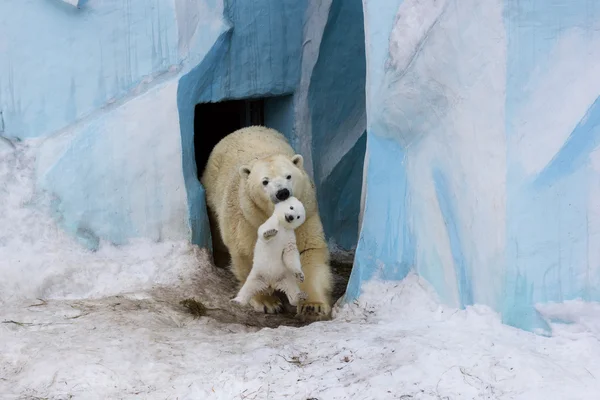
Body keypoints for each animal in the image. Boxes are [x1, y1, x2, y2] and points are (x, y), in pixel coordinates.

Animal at [202, 125, 332, 318]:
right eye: (265, 181)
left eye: (288, 176)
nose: (282, 192)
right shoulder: (248, 218)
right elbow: (248, 253)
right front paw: (267, 302)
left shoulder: (306, 214)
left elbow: (307, 249)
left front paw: (313, 305)